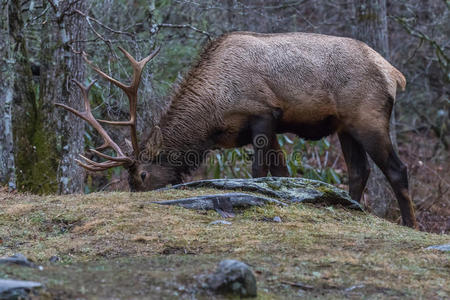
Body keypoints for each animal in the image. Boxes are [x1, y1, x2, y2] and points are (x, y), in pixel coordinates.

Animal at [57, 31, 418, 227]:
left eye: (142, 175)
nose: (136, 201)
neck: (212, 117)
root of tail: (395, 74)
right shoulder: (272, 125)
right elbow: (282, 172)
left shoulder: (263, 113)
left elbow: (259, 171)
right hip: (345, 126)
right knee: (359, 171)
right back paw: (353, 207)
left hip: (368, 118)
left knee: (397, 169)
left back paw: (411, 224)